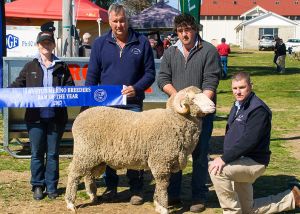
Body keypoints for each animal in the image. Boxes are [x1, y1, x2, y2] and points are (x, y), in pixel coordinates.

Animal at [65, 85, 216, 214]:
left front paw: (157, 203)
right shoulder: (161, 161)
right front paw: (163, 207)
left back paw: (92, 195)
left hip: (96, 158)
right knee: (74, 173)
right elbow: (163, 184)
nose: (213, 106)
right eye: (193, 98)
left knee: (88, 174)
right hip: (85, 152)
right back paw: (70, 203)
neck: (174, 121)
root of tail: (79, 118)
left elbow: (161, 185)